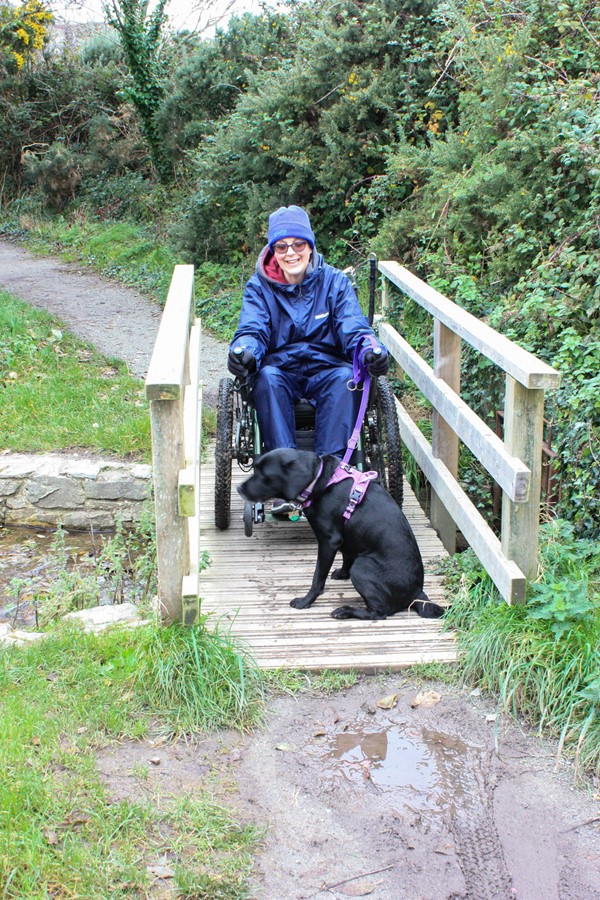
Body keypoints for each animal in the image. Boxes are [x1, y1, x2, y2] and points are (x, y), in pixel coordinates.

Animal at [239, 448, 446, 620]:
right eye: (255, 469)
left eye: (264, 475)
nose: (239, 488)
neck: (319, 480)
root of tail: (417, 593)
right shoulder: (345, 540)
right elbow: (346, 556)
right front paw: (342, 573)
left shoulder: (328, 541)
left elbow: (317, 579)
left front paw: (305, 601)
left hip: (362, 566)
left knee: (379, 613)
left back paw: (345, 611)